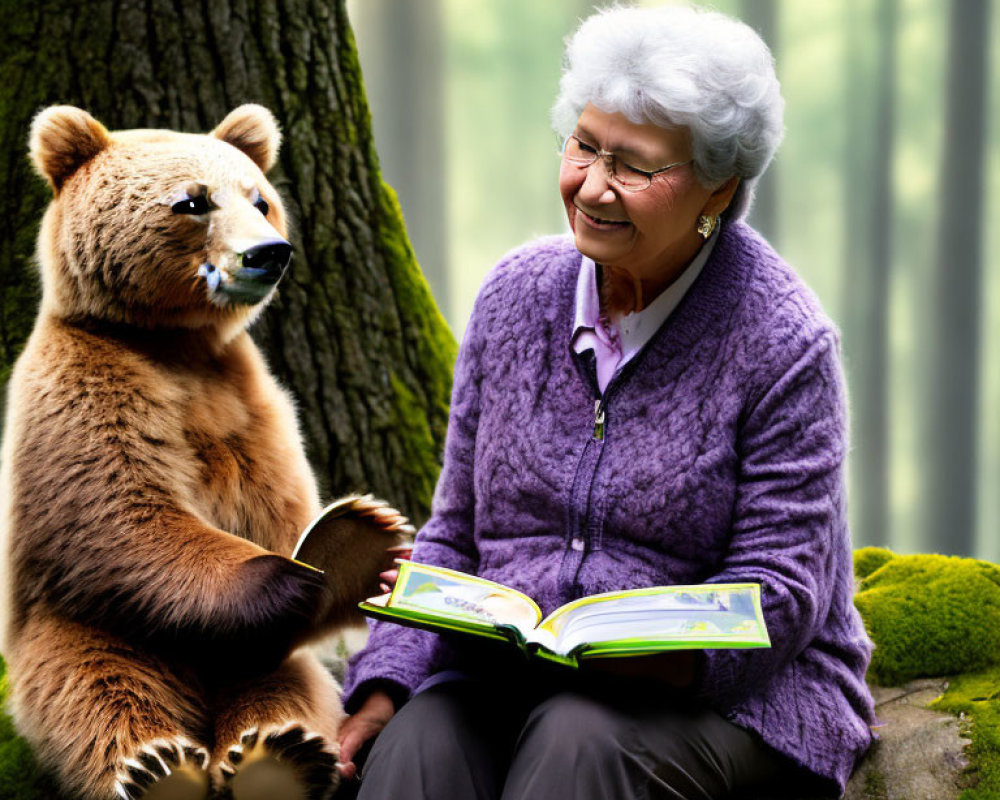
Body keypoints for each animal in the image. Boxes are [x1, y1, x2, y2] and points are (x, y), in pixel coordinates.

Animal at [0, 104, 412, 800]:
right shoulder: (85, 385)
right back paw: (159, 767)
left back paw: (278, 753)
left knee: (287, 686)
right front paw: (300, 573)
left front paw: (357, 538)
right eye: (193, 201)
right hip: (82, 634)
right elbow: (126, 512)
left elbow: (281, 507)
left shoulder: (251, 402)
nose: (269, 253)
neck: (177, 344)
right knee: (98, 693)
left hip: (252, 667)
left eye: (261, 199)